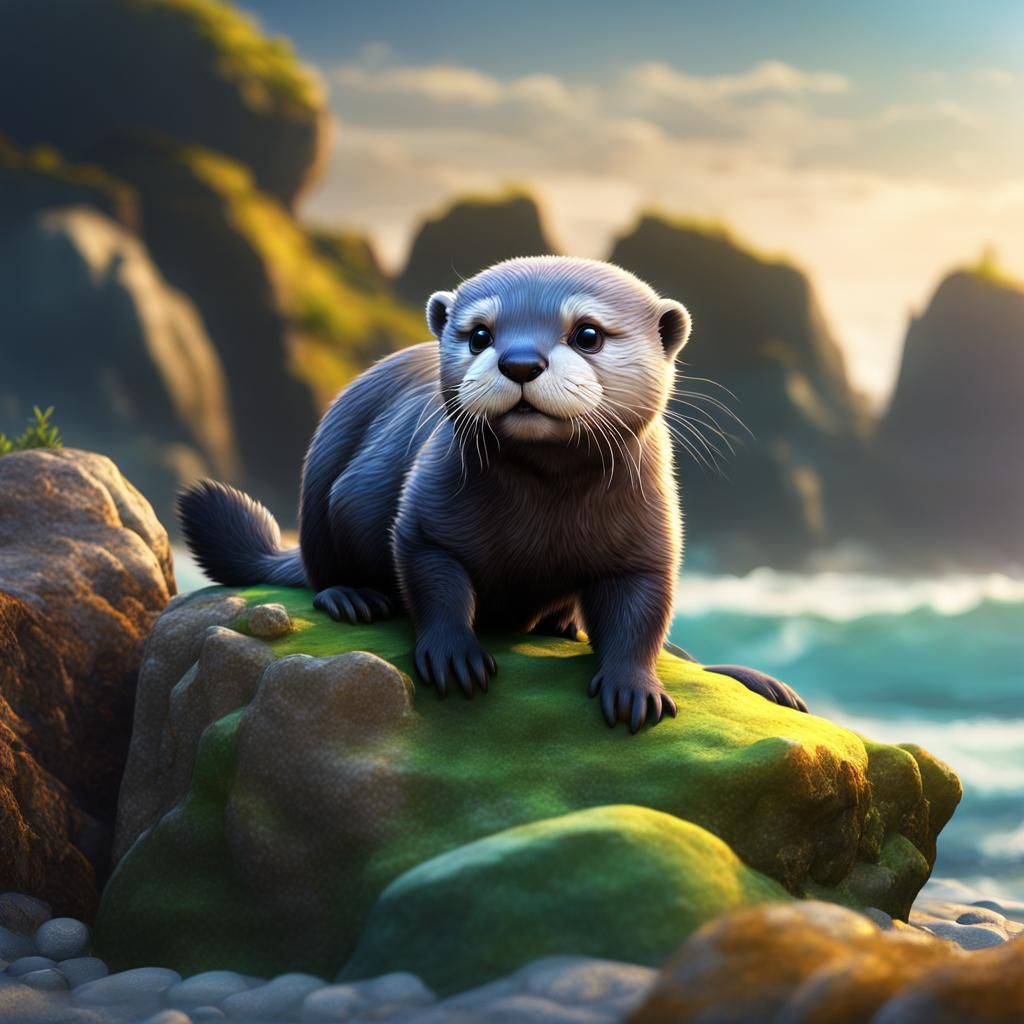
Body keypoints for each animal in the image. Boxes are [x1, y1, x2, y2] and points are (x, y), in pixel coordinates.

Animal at [179, 256, 806, 731]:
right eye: (480, 333)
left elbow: (642, 613)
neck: (544, 520)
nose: (520, 361)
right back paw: (352, 597)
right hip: (323, 481)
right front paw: (455, 655)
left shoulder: (650, 539)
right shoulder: (424, 514)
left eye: (587, 333)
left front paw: (634, 689)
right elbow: (432, 576)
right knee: (320, 563)